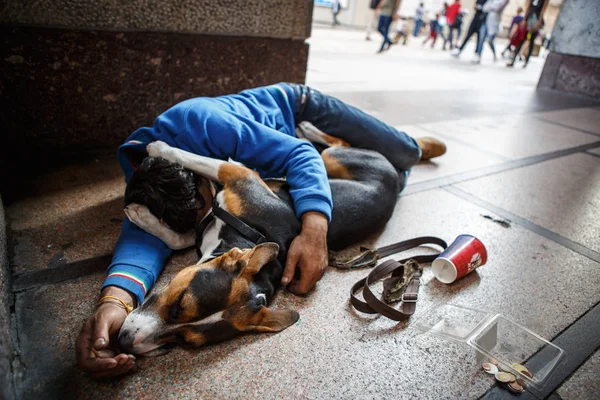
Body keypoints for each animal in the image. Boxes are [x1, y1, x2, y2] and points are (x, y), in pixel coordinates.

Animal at [118, 126, 398, 356]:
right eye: (179, 302)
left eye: (185, 340)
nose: (124, 343)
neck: (249, 232)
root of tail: (394, 174)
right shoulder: (239, 175)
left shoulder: (239, 174)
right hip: (330, 161)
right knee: (331, 145)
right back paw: (305, 129)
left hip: (335, 158)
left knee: (337, 144)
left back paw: (306, 129)